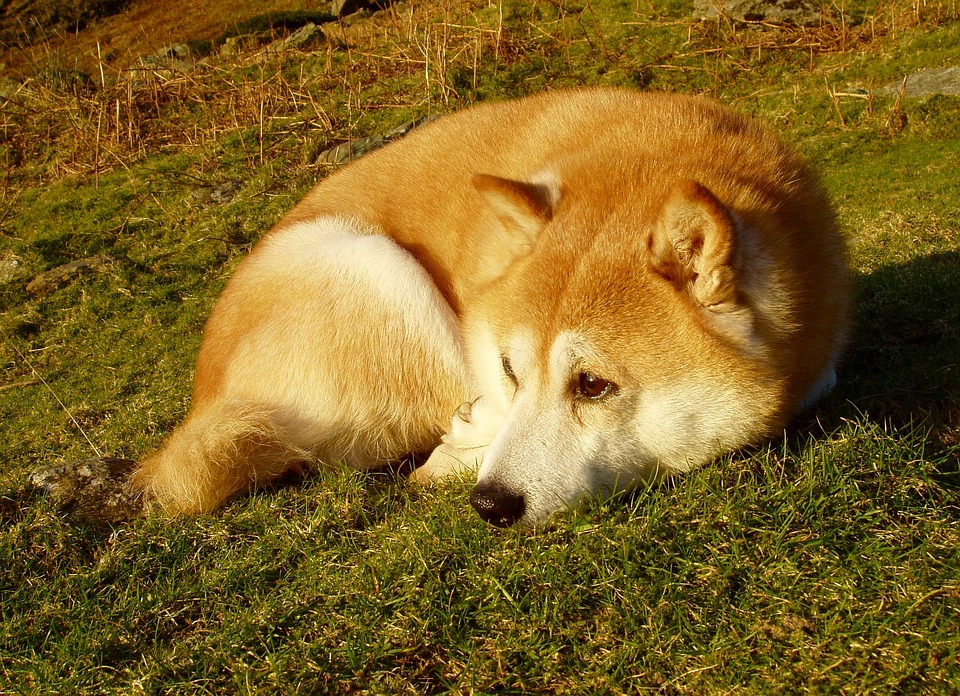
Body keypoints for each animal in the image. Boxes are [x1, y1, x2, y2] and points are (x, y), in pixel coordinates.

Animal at [131, 87, 852, 524]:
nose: (490, 504)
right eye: (511, 369)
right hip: (379, 271)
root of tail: (205, 402)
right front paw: (472, 438)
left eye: (593, 385)